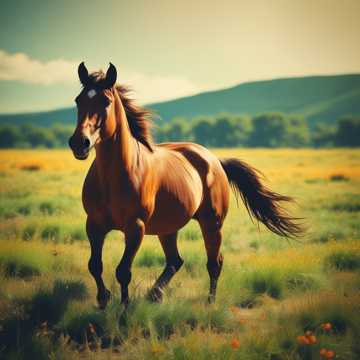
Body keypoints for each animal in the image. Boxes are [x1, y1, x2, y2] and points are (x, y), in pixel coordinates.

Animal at [68, 62, 304, 310]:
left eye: (106, 101)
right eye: (78, 100)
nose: (79, 143)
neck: (114, 176)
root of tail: (215, 160)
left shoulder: (135, 227)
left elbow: (123, 271)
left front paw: (124, 310)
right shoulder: (94, 224)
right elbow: (95, 266)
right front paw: (103, 300)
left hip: (212, 224)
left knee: (214, 263)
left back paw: (209, 303)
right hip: (168, 228)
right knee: (175, 260)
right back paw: (154, 294)